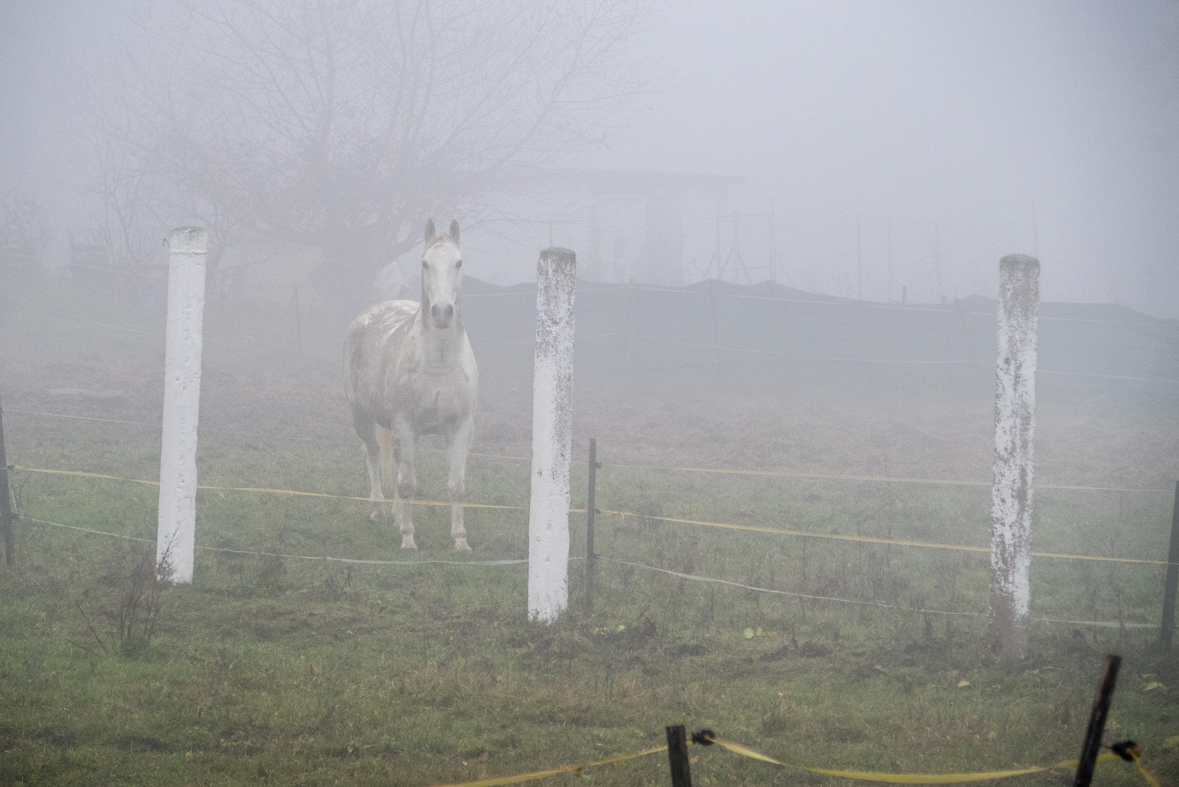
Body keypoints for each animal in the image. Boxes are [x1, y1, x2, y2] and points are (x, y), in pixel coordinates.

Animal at [344, 217, 478, 551]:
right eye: (424, 263)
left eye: (459, 262)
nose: (442, 313)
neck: (439, 364)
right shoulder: (404, 425)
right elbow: (407, 484)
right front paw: (408, 539)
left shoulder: (460, 428)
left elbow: (457, 486)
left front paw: (460, 541)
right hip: (362, 417)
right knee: (373, 455)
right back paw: (379, 511)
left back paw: (394, 515)